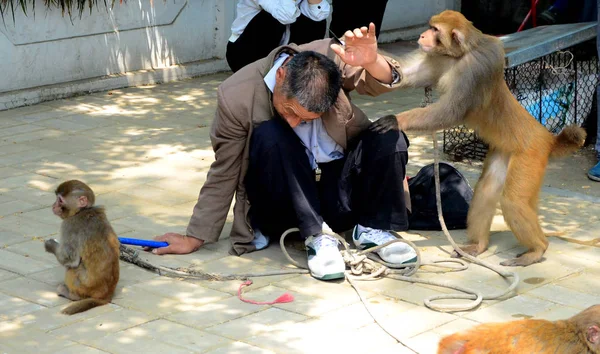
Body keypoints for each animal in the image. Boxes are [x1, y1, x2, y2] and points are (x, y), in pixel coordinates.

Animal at [44, 181, 119, 314]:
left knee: (73, 268)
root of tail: (106, 296)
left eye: (60, 200)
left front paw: (50, 245)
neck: (82, 211)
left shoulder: (69, 224)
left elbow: (70, 259)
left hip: (84, 286)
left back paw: (72, 295)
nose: (54, 205)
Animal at [376, 9, 584, 266]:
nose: (423, 35)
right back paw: (479, 245)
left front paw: (396, 120)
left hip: (530, 155)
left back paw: (538, 249)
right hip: (505, 151)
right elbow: (405, 75)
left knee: (513, 201)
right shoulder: (438, 58)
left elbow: (451, 112)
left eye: (435, 30)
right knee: (486, 189)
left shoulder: (477, 68)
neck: (459, 56)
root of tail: (547, 137)